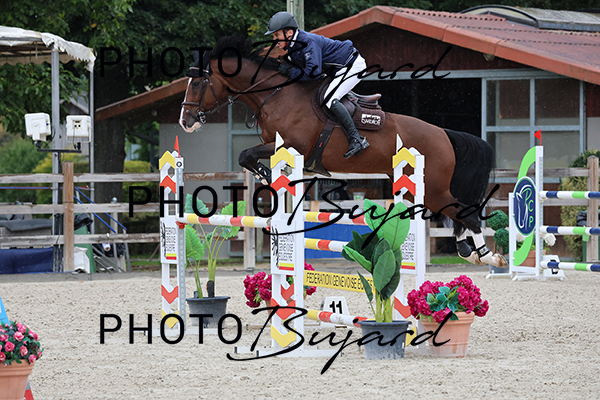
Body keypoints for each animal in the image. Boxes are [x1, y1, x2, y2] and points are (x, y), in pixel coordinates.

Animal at [179, 36, 507, 269]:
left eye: (198, 83)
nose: (185, 121)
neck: (275, 95)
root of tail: (444, 134)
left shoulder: (292, 145)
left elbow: (246, 155)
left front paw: (266, 176)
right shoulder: (278, 146)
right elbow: (247, 157)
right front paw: (269, 177)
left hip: (434, 188)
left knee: (468, 215)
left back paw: (489, 256)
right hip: (420, 188)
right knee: (457, 215)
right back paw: (468, 251)